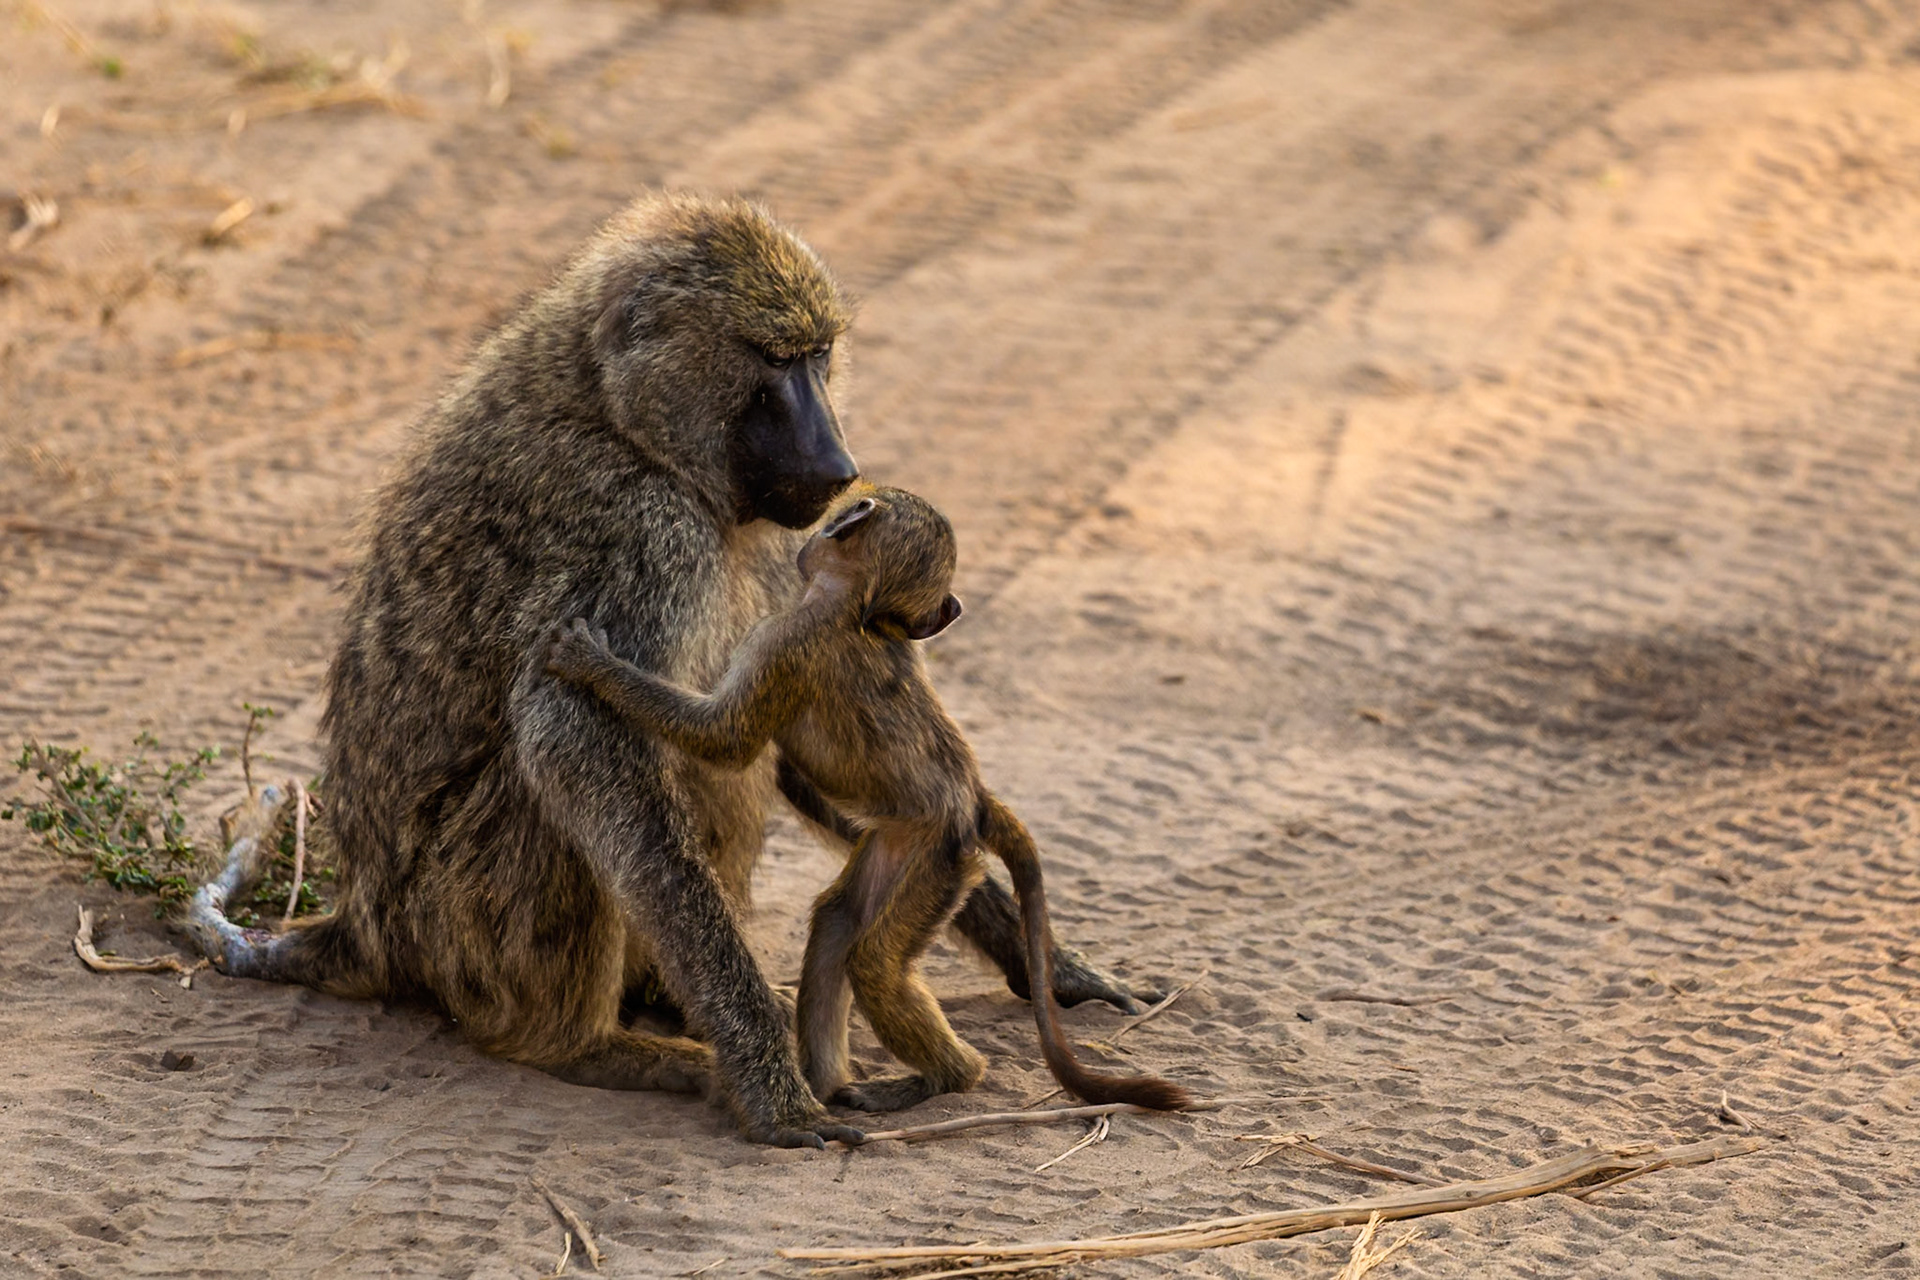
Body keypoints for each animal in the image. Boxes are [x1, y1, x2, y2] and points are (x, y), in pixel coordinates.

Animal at [543, 485, 1191, 1113]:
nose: (952, 611)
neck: (854, 607)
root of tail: (970, 801)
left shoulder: (781, 640)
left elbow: (726, 742)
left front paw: (592, 664)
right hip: (899, 846)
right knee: (838, 923)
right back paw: (828, 1083)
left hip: (940, 861)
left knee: (875, 965)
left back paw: (947, 1077)